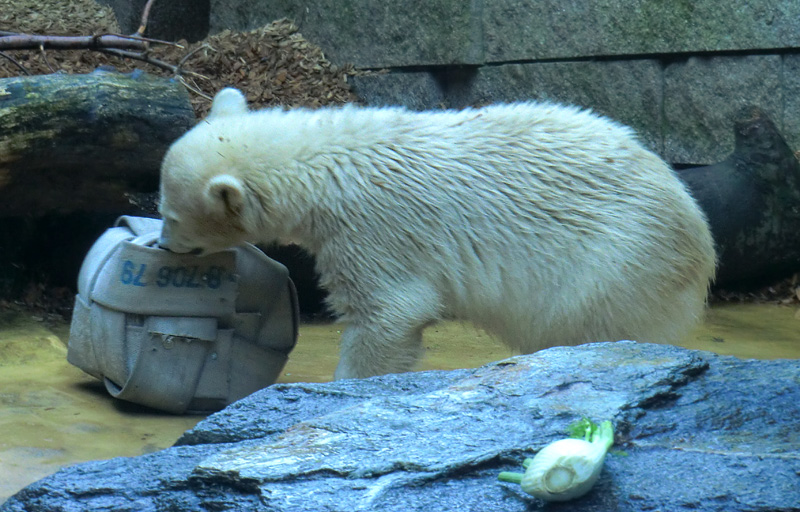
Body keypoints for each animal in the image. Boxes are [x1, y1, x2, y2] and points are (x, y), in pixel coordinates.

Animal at [159, 86, 716, 378]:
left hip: (616, 264)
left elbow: (390, 312)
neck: (323, 162)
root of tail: (700, 236)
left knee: (587, 326)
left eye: (171, 215)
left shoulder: (372, 228)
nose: (164, 244)